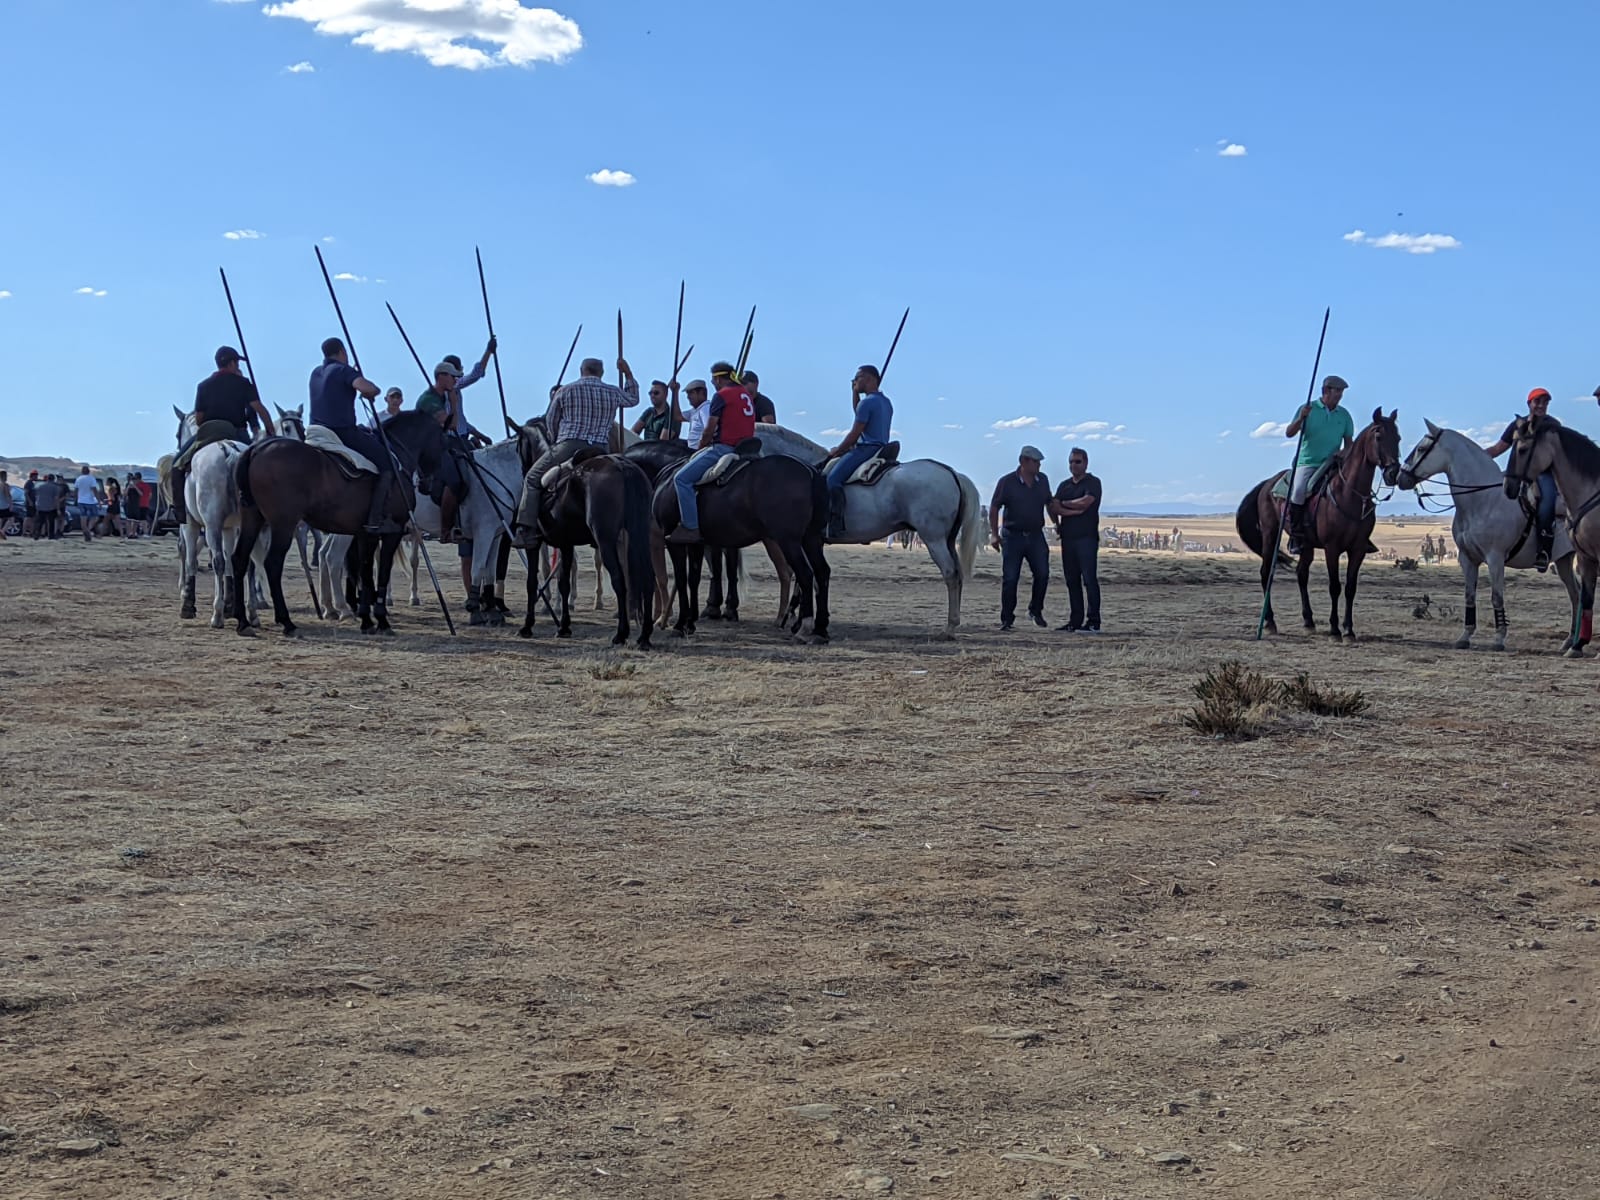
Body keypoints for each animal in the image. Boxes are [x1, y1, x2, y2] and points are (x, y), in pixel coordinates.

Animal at [230, 412, 444, 640]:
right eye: (443, 439)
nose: (428, 485)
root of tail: (257, 449)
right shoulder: (391, 534)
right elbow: (382, 571)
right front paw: (381, 620)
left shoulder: (365, 534)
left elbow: (365, 572)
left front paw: (367, 620)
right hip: (283, 523)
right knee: (274, 563)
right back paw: (287, 621)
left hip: (253, 518)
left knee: (239, 558)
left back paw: (243, 621)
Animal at [742, 425, 979, 633]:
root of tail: (952, 473)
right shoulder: (811, 543)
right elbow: (812, 579)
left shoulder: (801, 541)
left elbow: (806, 577)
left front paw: (798, 620)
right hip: (948, 540)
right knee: (958, 574)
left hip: (934, 540)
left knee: (950, 574)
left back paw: (949, 628)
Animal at [1235, 412, 1401, 643]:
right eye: (1378, 436)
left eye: (1398, 438)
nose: (1393, 473)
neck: (1348, 494)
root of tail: (1267, 484)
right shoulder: (1332, 548)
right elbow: (1335, 587)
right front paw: (1335, 630)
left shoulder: (1358, 549)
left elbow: (1350, 588)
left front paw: (1349, 630)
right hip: (1270, 535)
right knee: (1266, 572)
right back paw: (1269, 622)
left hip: (1305, 545)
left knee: (1301, 574)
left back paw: (1308, 621)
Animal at [1395, 419, 1580, 652]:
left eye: (1421, 449)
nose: (1400, 477)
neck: (1483, 500)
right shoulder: (1468, 559)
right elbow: (1469, 596)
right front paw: (1465, 636)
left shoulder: (1495, 558)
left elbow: (1496, 598)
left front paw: (1499, 639)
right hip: (1564, 561)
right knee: (1576, 595)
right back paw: (1570, 641)